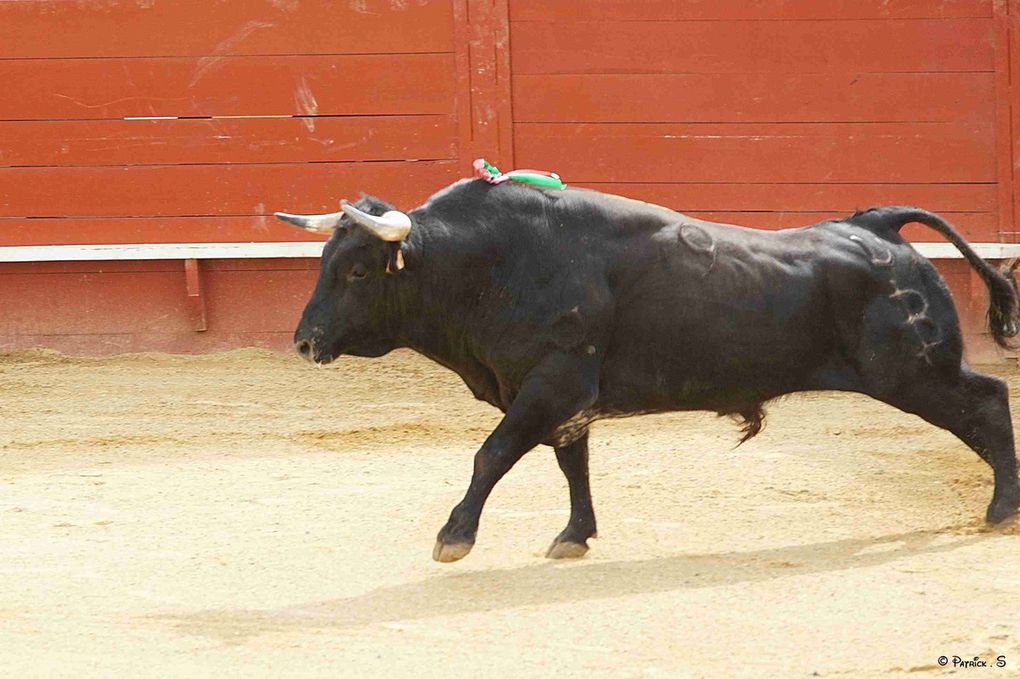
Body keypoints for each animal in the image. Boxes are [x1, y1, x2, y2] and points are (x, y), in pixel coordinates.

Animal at [273, 178, 1020, 558]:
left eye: (358, 270)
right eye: (324, 262)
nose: (304, 343)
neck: (493, 262)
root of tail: (876, 225)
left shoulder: (553, 382)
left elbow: (493, 454)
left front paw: (454, 535)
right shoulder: (565, 397)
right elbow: (571, 464)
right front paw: (575, 535)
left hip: (914, 371)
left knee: (987, 401)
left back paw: (1000, 508)